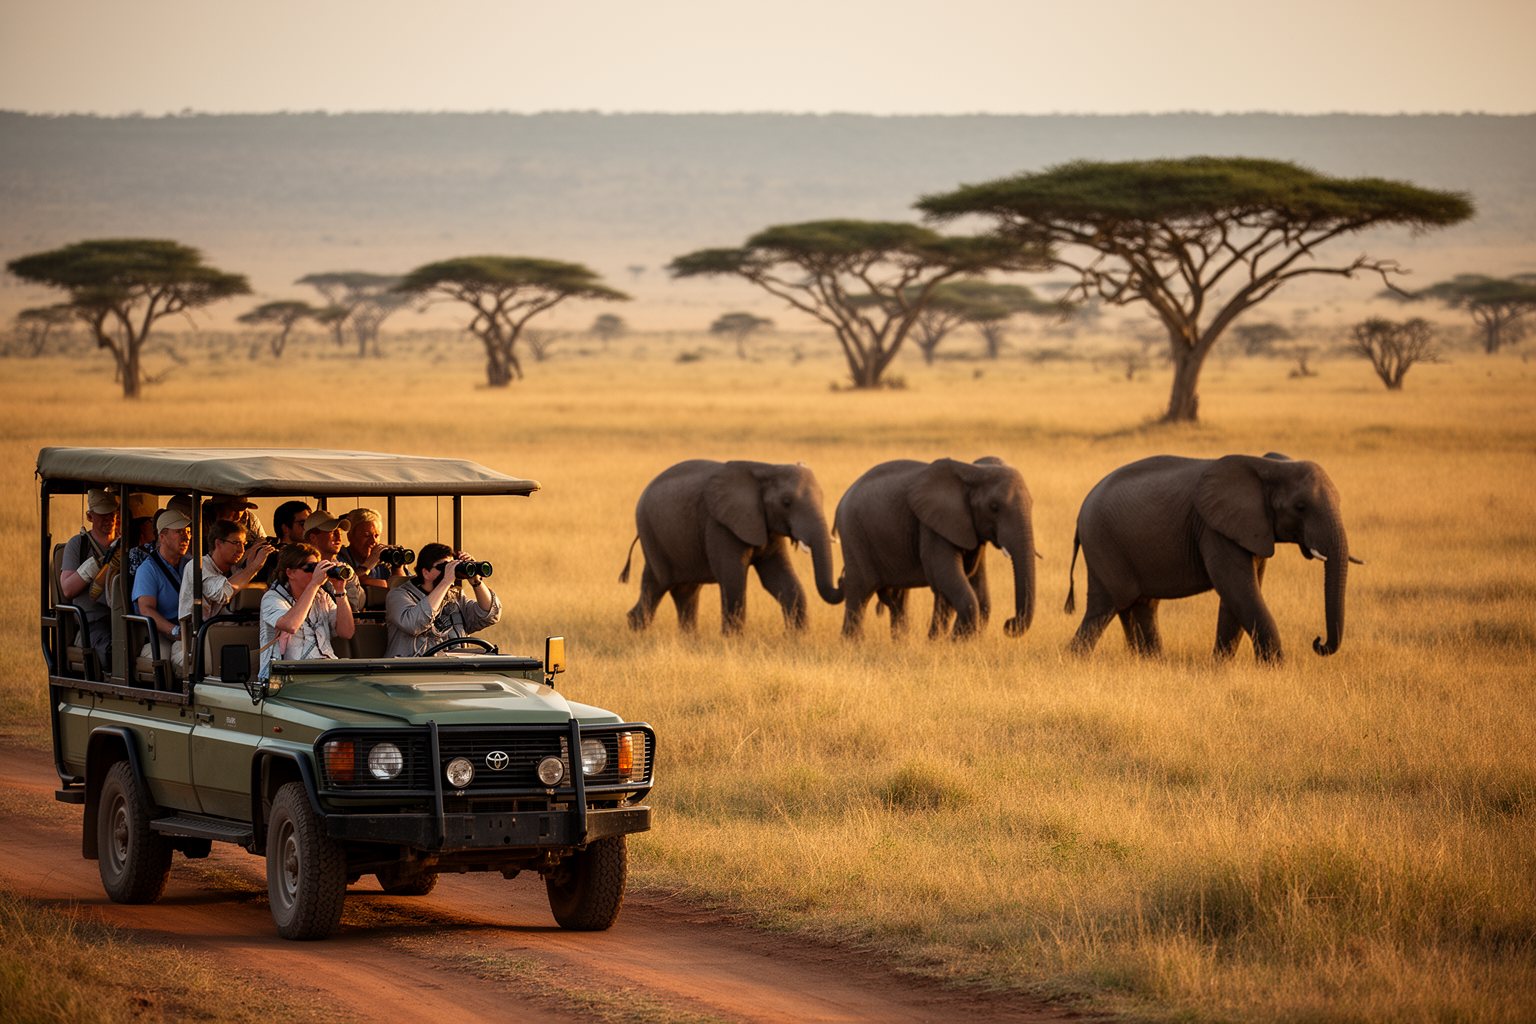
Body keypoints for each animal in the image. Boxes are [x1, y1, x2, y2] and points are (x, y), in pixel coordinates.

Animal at [620, 460, 842, 634]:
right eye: (786, 503)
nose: (842, 578)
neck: (767, 468)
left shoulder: (766, 525)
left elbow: (778, 577)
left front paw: (796, 638)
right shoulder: (720, 524)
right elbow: (733, 576)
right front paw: (733, 641)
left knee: (683, 590)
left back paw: (686, 639)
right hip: (652, 534)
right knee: (660, 583)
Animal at [834, 457, 1037, 639]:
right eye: (994, 507)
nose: (1009, 623)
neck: (972, 471)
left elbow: (976, 590)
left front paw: (942, 642)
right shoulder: (931, 527)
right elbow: (948, 578)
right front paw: (955, 641)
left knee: (896, 597)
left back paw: (901, 643)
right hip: (853, 534)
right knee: (860, 591)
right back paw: (853, 644)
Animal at [1064, 453, 1357, 661]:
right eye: (1300, 507)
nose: (1318, 642)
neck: (1268, 466)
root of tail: (1080, 511)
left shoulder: (1249, 530)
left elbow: (1239, 594)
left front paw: (1219, 666)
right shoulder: (1215, 530)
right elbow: (1239, 589)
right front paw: (1275, 668)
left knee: (1139, 604)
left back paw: (1150, 661)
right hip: (1103, 541)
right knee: (1107, 606)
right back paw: (1074, 660)